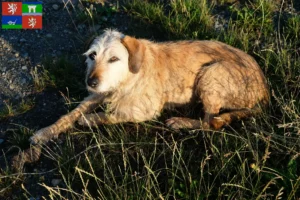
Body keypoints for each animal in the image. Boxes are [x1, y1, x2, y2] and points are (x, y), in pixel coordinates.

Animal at [29, 29, 270, 145]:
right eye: (92, 55)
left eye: (114, 59)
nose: (91, 82)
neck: (127, 78)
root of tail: (264, 87)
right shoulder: (98, 94)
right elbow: (70, 114)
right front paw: (44, 132)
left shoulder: (146, 110)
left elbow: (114, 114)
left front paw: (90, 119)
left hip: (212, 74)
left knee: (212, 122)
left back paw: (181, 122)